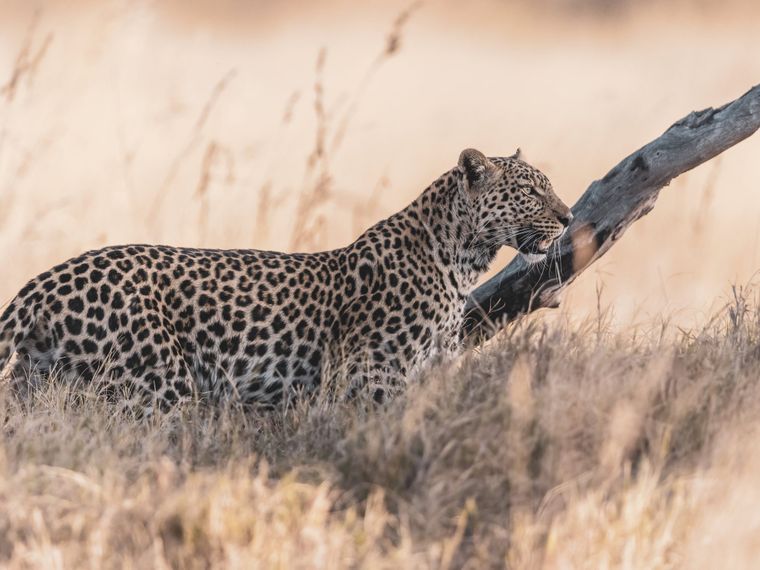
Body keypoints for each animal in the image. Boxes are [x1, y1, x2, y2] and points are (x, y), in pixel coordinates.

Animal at [0, 148, 572, 412]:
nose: (568, 218)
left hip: (42, 379)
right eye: (532, 193)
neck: (461, 258)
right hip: (158, 385)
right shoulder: (371, 377)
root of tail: (46, 278)